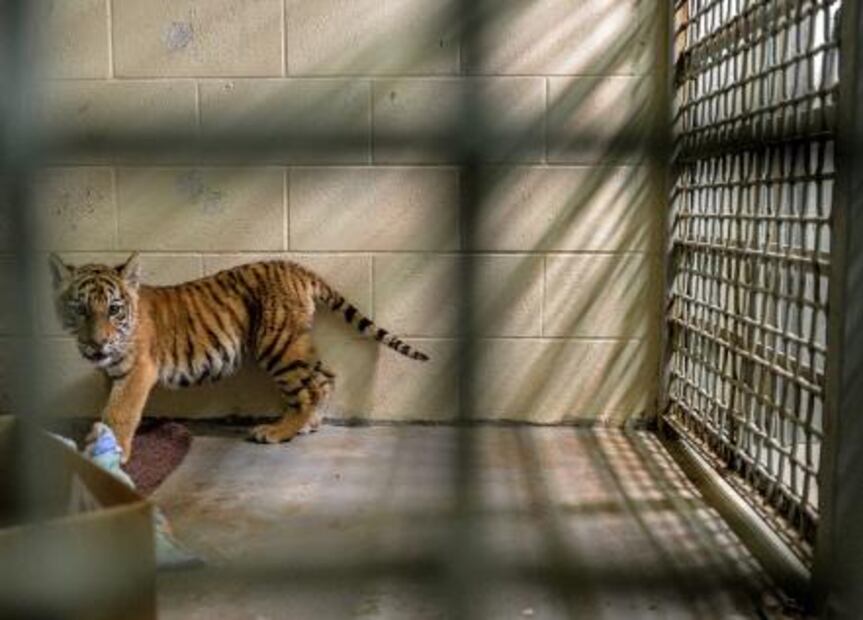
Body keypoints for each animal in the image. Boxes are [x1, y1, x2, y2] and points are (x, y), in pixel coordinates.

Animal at [49, 253, 429, 462]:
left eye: (114, 309)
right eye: (79, 309)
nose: (96, 344)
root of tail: (295, 267)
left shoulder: (137, 372)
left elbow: (120, 413)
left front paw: (109, 455)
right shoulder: (111, 372)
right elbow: (107, 408)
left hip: (277, 345)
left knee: (307, 391)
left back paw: (278, 432)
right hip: (296, 344)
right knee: (325, 378)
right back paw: (309, 425)